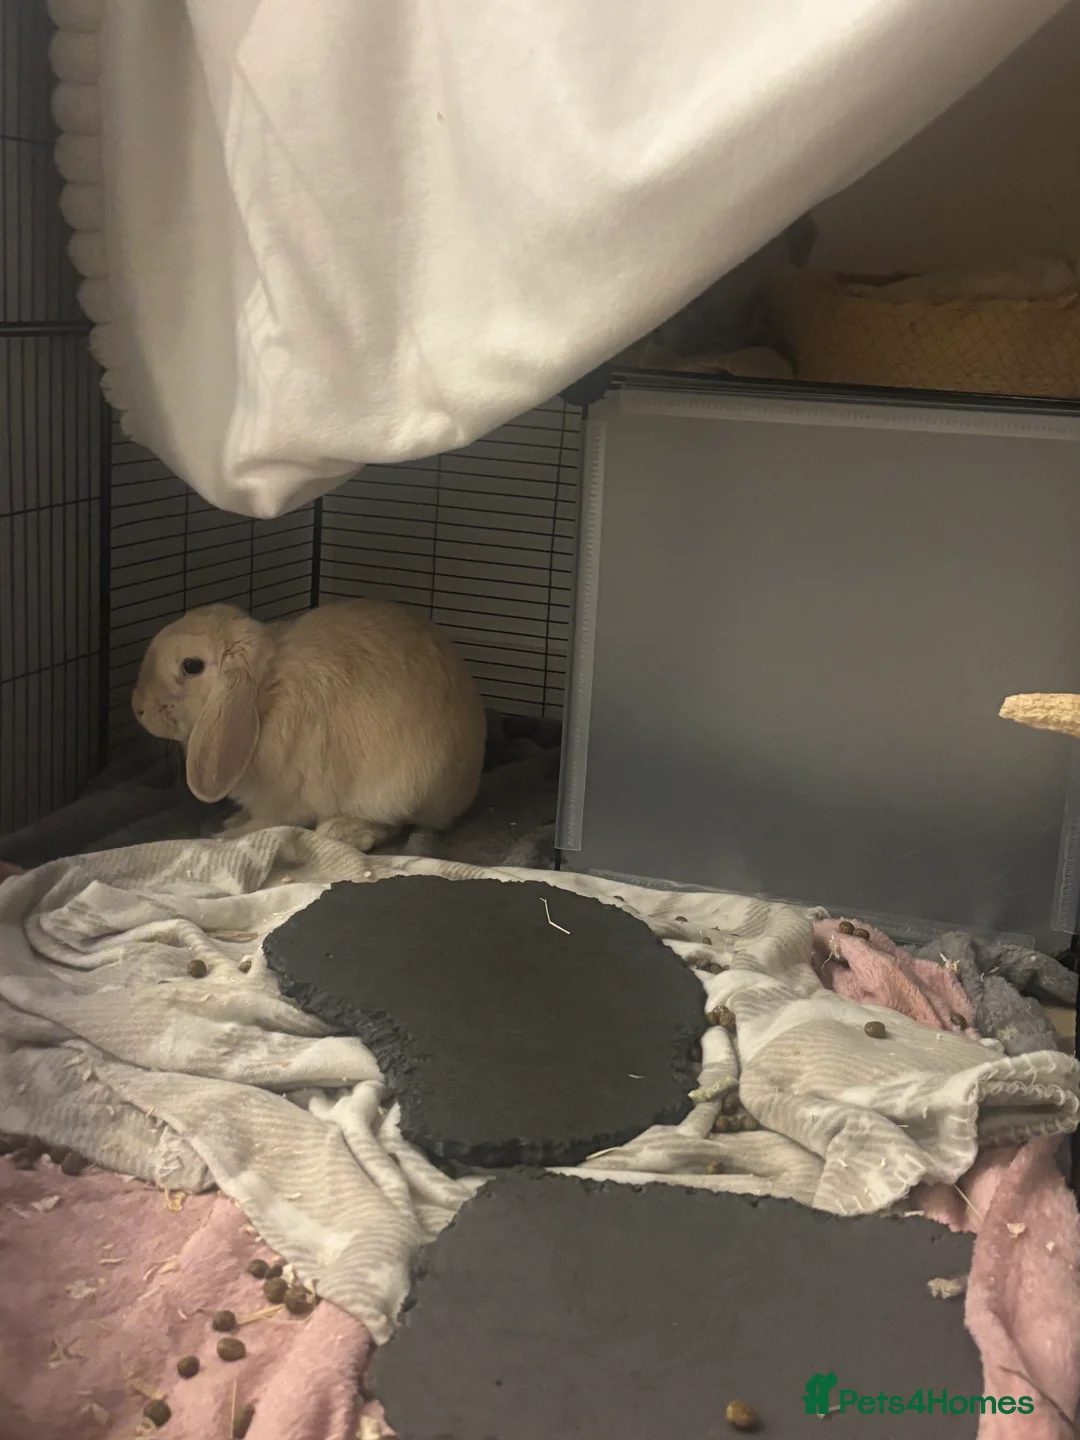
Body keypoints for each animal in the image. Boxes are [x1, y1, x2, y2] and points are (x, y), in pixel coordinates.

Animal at [131, 599, 487, 850]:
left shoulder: (283, 800)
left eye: (191, 666)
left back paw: (341, 831)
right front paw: (231, 821)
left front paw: (226, 836)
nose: (138, 707)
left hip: (396, 792)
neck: (261, 698)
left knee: (393, 824)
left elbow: (267, 823)